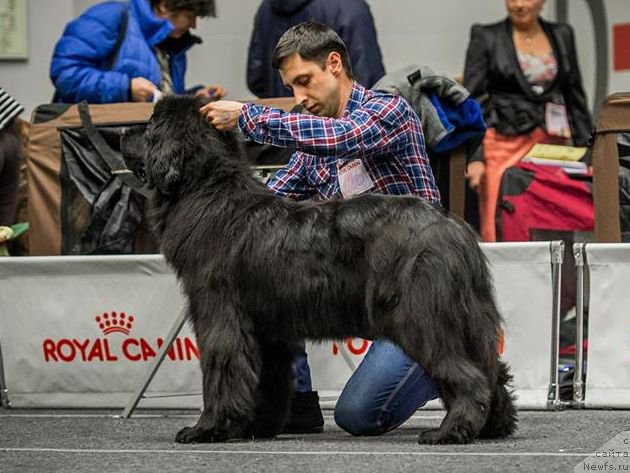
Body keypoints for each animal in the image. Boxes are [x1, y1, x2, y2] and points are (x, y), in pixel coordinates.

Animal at [139, 95, 520, 442]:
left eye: (149, 126)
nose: (128, 131)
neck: (208, 189)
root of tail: (456, 230)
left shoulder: (219, 313)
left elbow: (221, 369)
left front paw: (207, 429)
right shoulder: (267, 331)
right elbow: (267, 382)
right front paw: (255, 428)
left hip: (422, 316)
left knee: (468, 376)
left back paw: (448, 432)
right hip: (469, 320)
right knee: (493, 371)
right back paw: (493, 428)